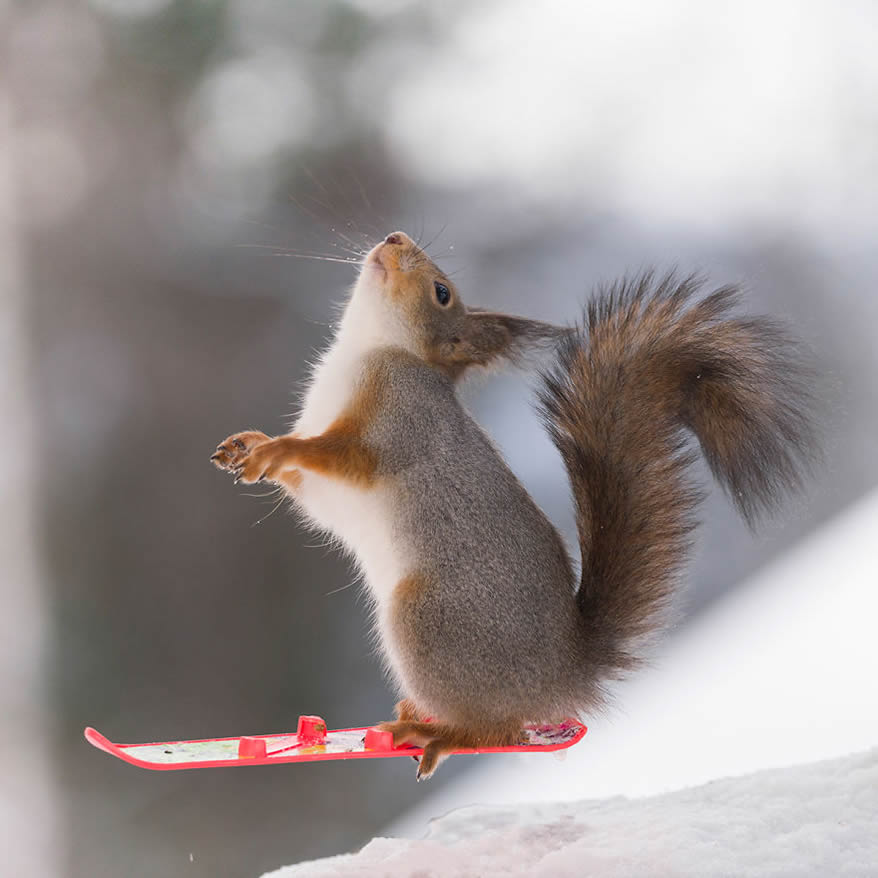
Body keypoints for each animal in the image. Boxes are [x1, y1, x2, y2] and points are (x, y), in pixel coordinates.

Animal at [211, 230, 820, 780]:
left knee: (496, 729)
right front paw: (249, 445)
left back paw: (436, 732)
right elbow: (308, 490)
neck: (370, 348)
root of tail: (561, 675)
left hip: (429, 621)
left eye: (442, 292)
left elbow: (348, 458)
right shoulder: (326, 484)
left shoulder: (399, 422)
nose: (395, 236)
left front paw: (279, 448)